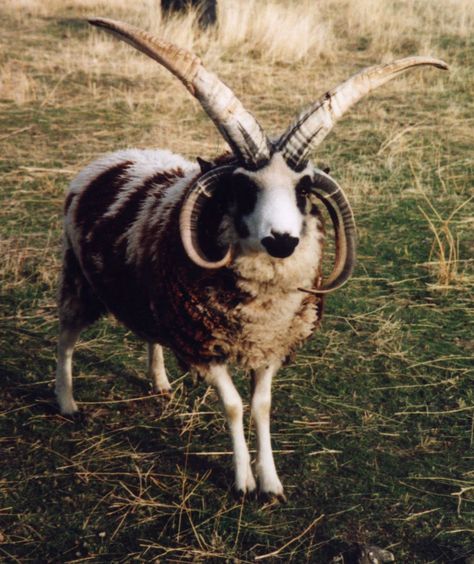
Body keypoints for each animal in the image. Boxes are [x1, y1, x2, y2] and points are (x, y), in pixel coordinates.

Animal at [56, 18, 448, 498]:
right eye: (244, 189)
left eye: (302, 190)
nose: (282, 241)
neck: (261, 311)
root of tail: (114, 158)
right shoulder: (205, 346)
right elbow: (233, 407)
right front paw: (243, 481)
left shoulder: (270, 346)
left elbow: (261, 407)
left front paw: (271, 481)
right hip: (79, 279)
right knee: (66, 337)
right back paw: (67, 402)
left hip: (154, 300)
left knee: (151, 335)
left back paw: (160, 382)